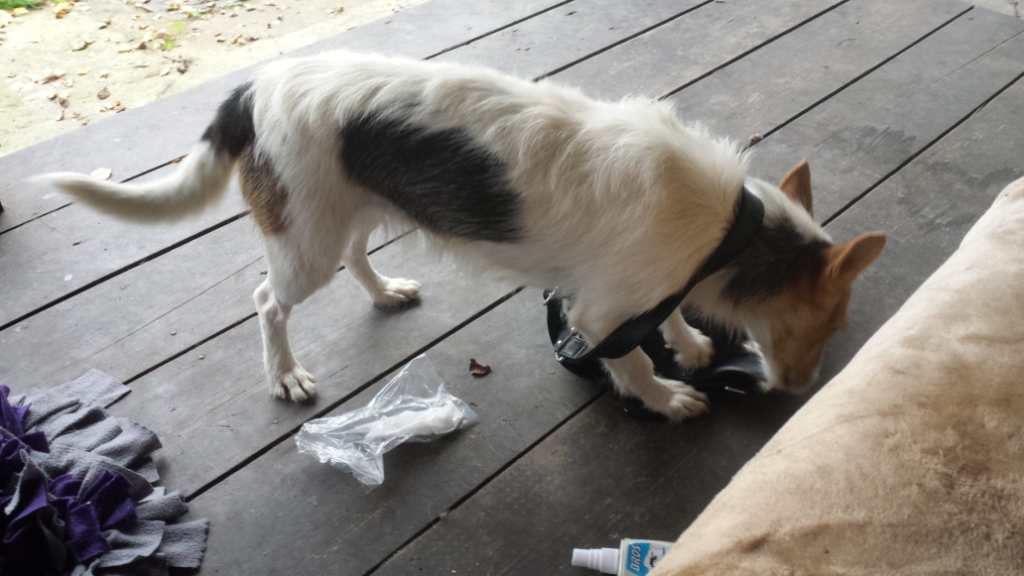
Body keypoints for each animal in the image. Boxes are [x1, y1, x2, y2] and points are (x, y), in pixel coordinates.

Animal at [36, 51, 886, 421]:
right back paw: (286, 375)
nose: (800, 391)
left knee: (356, 259)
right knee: (267, 301)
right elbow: (632, 361)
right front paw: (666, 394)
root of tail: (255, 85)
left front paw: (691, 343)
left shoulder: (645, 286)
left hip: (353, 211)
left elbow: (668, 315)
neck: (727, 231)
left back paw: (385, 293)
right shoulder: (599, 314)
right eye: (833, 320)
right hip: (305, 241)